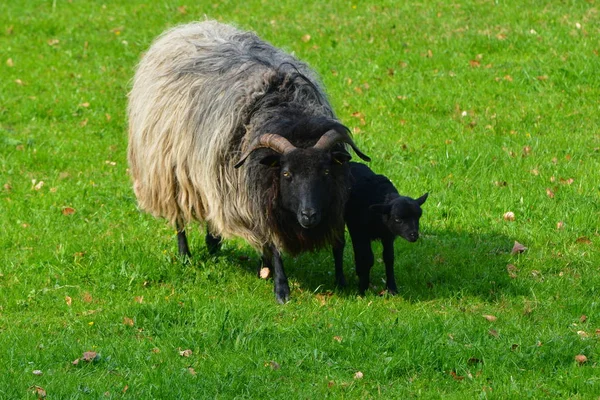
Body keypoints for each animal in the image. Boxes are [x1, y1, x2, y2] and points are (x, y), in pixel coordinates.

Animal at [127, 21, 370, 304]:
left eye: (326, 172)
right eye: (286, 174)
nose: (308, 215)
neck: (290, 117)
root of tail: (188, 28)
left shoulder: (332, 204)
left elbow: (338, 244)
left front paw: (341, 282)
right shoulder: (257, 199)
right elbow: (274, 245)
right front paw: (281, 290)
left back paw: (215, 245)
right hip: (168, 173)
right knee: (178, 217)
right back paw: (185, 255)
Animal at [332, 161, 426, 296]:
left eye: (418, 217)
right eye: (398, 219)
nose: (414, 235)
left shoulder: (388, 236)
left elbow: (389, 258)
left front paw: (392, 289)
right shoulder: (359, 233)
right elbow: (366, 259)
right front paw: (362, 290)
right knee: (339, 246)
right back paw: (341, 281)